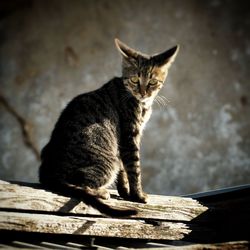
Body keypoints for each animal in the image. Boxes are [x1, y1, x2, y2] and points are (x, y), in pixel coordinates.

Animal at [39, 38, 179, 216]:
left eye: (152, 82)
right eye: (135, 80)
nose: (142, 93)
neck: (142, 104)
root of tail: (48, 172)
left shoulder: (122, 143)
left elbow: (124, 170)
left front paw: (125, 192)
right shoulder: (129, 135)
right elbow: (134, 168)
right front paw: (138, 195)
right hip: (106, 163)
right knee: (82, 185)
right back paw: (101, 192)